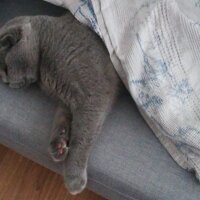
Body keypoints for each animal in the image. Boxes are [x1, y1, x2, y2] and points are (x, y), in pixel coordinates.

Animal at [0, 11, 121, 195]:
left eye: (6, 68)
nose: (7, 83)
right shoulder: (66, 100)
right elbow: (61, 118)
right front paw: (58, 144)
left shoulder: (93, 96)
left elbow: (81, 136)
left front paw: (74, 179)